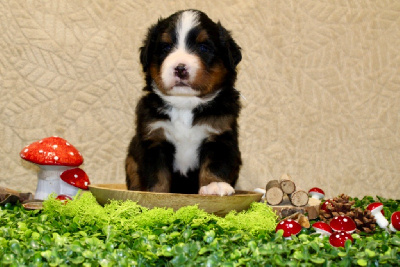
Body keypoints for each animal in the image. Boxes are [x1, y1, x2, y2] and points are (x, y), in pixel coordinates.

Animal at [125, 9, 242, 197]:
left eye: (203, 47)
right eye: (166, 47)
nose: (180, 68)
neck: (185, 105)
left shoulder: (220, 136)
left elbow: (214, 165)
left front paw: (214, 186)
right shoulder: (154, 138)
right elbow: (157, 175)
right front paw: (157, 193)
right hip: (131, 157)